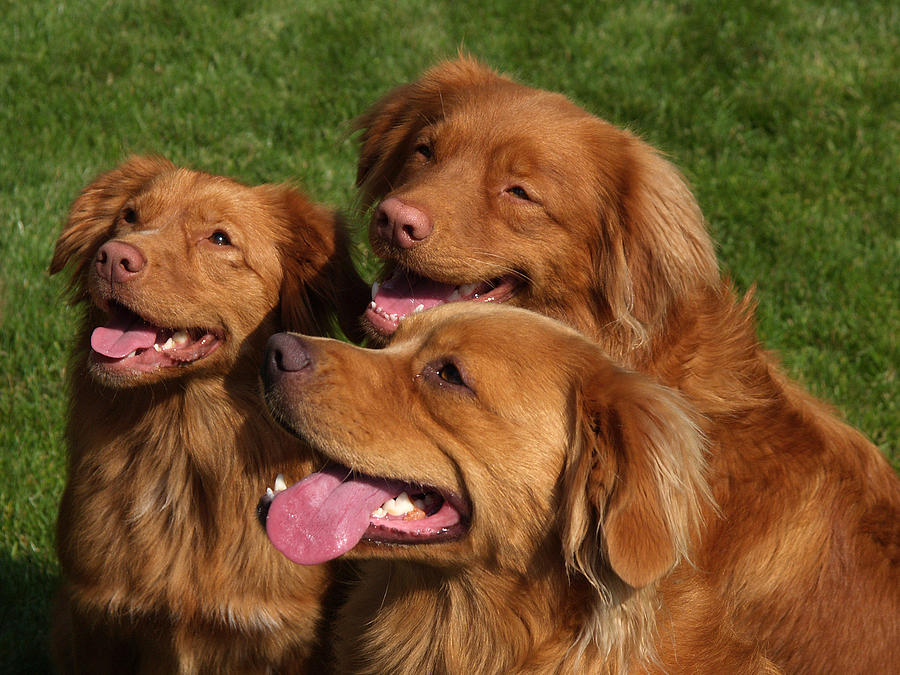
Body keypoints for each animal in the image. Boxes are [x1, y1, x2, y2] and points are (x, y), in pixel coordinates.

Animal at [45, 156, 368, 672]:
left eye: (219, 238)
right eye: (130, 216)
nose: (113, 257)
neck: (183, 450)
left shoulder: (293, 634)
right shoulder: (95, 620)